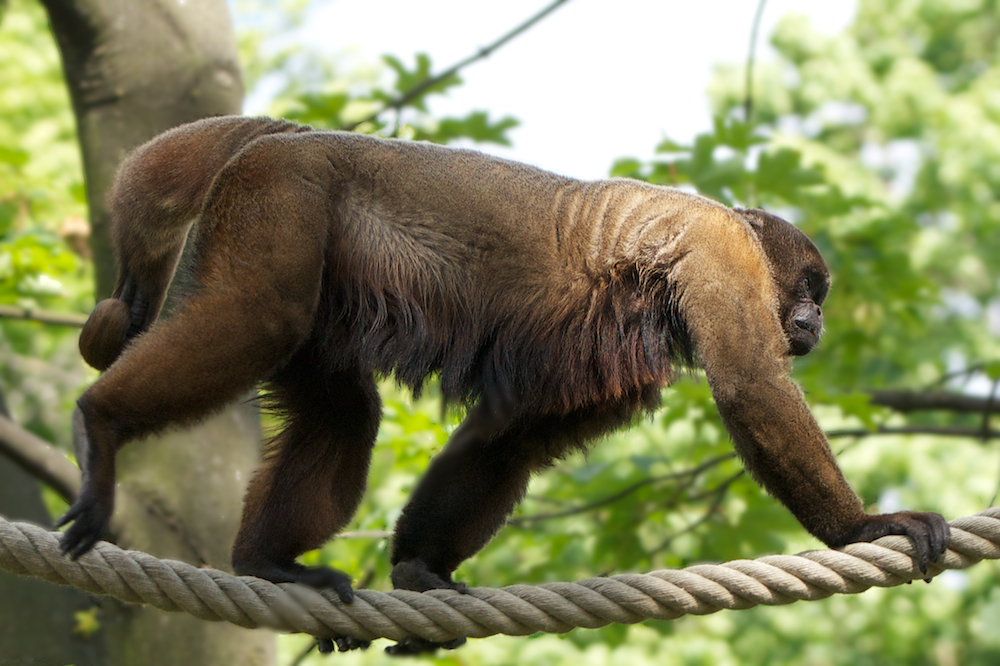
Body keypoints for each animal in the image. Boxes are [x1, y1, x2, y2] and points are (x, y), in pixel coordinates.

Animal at [58, 114, 948, 616]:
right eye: (813, 290)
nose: (817, 323)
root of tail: (285, 136)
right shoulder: (720, 254)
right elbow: (751, 384)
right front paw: (863, 528)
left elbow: (508, 438)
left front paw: (418, 567)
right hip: (283, 197)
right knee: (256, 314)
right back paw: (100, 426)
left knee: (344, 411)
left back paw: (268, 564)